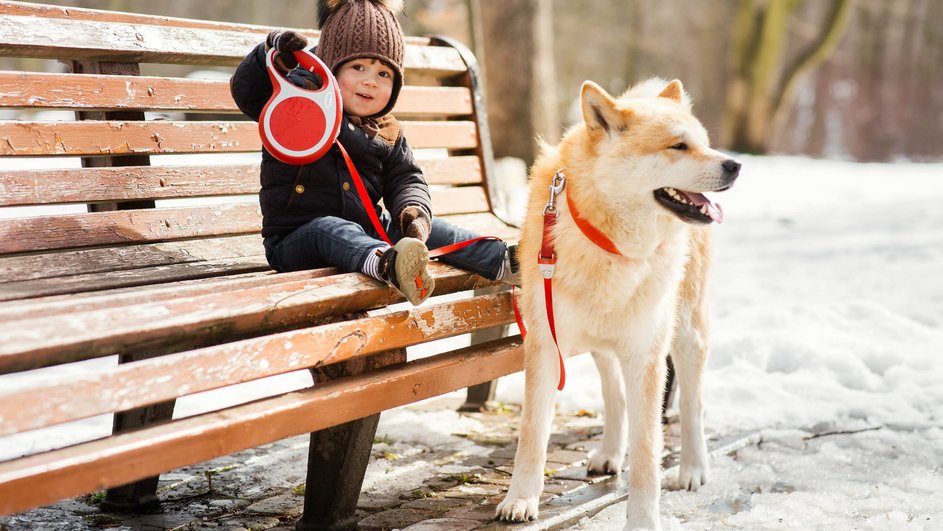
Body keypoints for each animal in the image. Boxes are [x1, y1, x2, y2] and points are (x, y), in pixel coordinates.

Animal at [498, 79, 740, 531]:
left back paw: (693, 468)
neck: (611, 243)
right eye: (678, 146)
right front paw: (520, 499)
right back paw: (611, 452)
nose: (735, 165)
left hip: (686, 333)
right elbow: (532, 435)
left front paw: (643, 520)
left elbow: (647, 455)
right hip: (603, 344)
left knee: (692, 403)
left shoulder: (646, 356)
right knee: (615, 397)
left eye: (703, 143)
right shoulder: (545, 346)